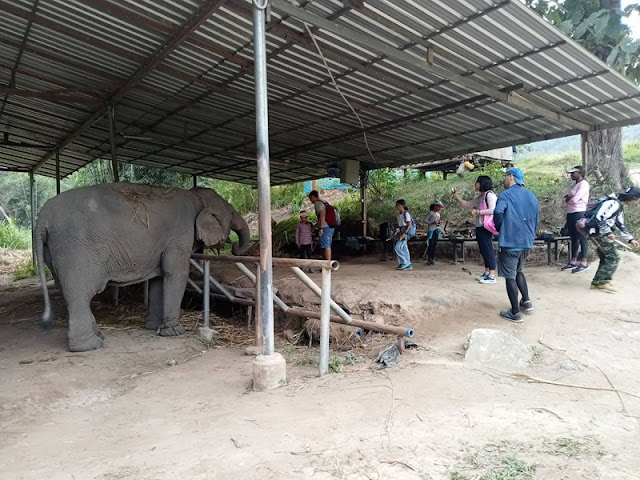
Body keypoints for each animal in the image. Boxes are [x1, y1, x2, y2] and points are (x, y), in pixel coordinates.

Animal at [34, 182, 250, 350]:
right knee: (80, 293)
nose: (234, 247)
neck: (196, 196)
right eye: (231, 213)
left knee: (68, 290)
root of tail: (42, 218)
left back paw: (98, 336)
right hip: (76, 250)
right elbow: (175, 272)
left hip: (54, 251)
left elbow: (159, 278)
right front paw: (174, 332)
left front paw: (153, 328)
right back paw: (90, 345)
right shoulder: (180, 236)